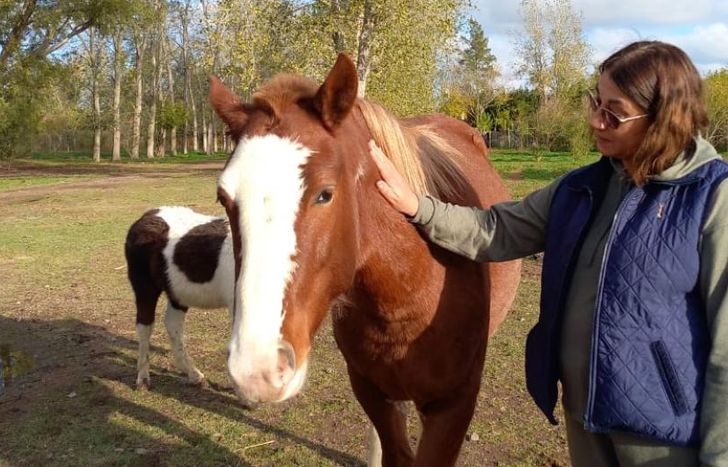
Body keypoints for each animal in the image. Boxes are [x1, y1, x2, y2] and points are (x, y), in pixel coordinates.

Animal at [125, 206, 233, 389]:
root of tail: (148, 215)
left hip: (178, 292)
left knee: (173, 324)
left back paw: (193, 374)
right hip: (144, 286)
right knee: (144, 325)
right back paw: (143, 378)